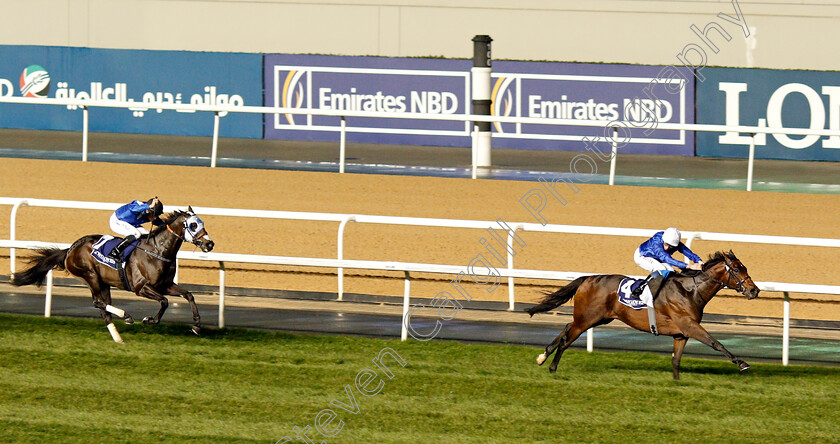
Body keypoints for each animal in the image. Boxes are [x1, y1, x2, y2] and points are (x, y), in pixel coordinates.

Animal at [9, 206, 213, 342]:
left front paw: (197, 326)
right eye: (193, 225)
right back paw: (126, 315)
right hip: (90, 276)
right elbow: (164, 301)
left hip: (103, 282)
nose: (210, 244)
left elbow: (189, 295)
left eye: (202, 223)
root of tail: (70, 249)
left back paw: (117, 337)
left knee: (103, 308)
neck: (158, 251)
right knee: (98, 302)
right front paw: (149, 319)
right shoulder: (141, 287)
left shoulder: (165, 285)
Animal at [532, 251, 760, 380]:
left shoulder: (681, 334)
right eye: (737, 269)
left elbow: (676, 361)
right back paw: (552, 367)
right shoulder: (690, 326)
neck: (690, 290)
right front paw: (742, 363)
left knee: (566, 328)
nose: (754, 290)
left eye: (745, 267)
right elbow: (715, 343)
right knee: (566, 340)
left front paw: (677, 382)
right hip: (587, 318)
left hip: (597, 317)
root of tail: (587, 278)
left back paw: (543, 356)